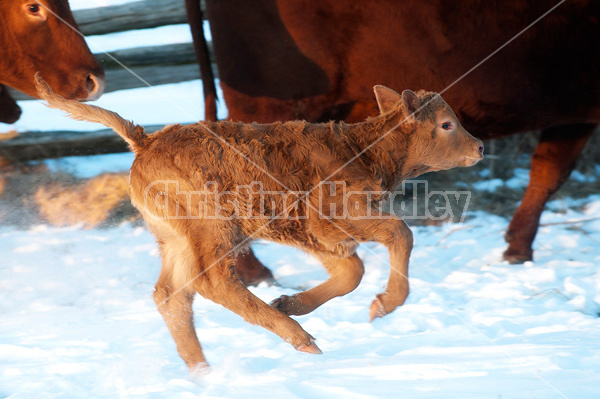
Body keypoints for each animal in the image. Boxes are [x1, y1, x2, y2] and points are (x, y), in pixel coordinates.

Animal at [35, 76, 482, 372]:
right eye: (446, 124)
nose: (479, 147)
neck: (364, 150)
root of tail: (146, 140)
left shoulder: (319, 235)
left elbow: (350, 271)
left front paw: (291, 301)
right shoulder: (339, 218)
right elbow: (399, 235)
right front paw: (385, 304)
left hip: (177, 238)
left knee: (171, 295)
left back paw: (203, 372)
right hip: (214, 228)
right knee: (212, 281)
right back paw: (299, 339)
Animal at [189, 0, 600, 268]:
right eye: (446, 124)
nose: (481, 147)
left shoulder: (574, 116)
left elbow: (547, 172)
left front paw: (516, 248)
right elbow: (551, 175)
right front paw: (518, 250)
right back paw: (249, 271)